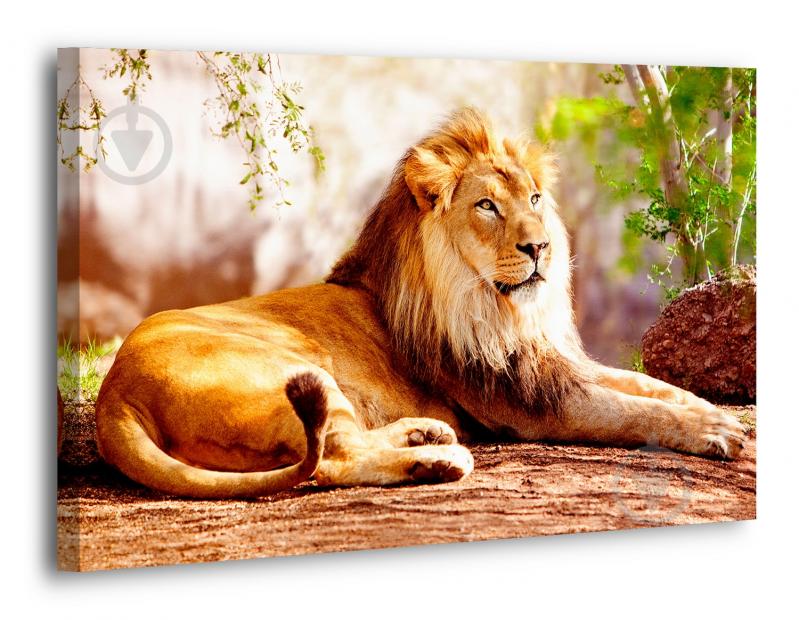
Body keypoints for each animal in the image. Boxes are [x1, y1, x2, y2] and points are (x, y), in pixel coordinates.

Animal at [94, 108, 745, 498]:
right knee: (327, 459)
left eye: (536, 198)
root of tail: (113, 396)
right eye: (487, 206)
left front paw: (712, 410)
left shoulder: (548, 364)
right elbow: (630, 411)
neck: (497, 309)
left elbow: (647, 386)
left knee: (339, 443)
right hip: (288, 371)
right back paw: (438, 463)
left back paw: (424, 436)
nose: (540, 246)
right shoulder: (529, 401)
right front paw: (712, 430)